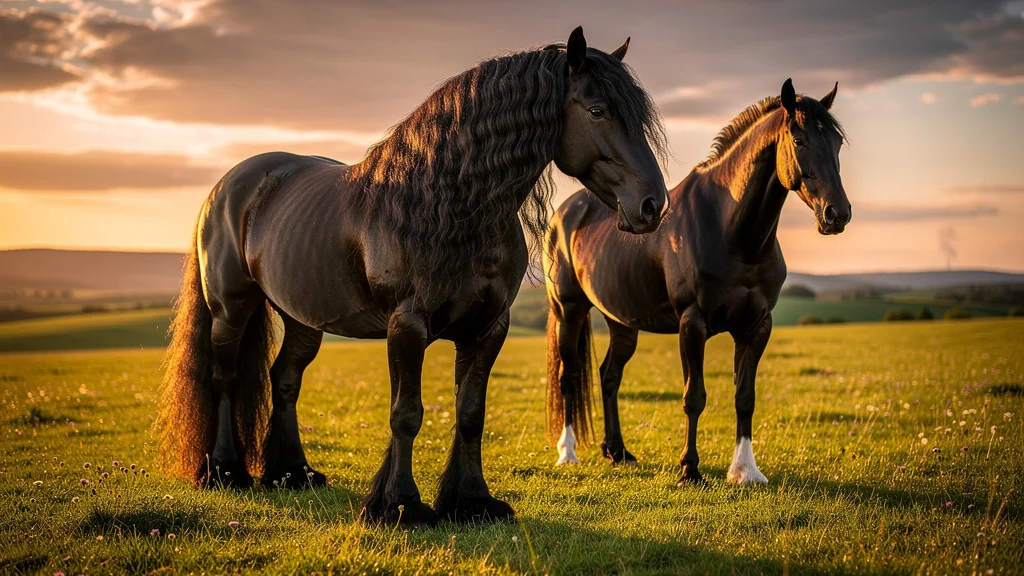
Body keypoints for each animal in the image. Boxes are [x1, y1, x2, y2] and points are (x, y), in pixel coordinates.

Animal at [156, 26, 669, 526]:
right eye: (598, 110)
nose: (653, 205)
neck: (449, 207)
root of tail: (230, 184)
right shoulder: (407, 326)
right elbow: (406, 413)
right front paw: (400, 505)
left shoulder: (489, 328)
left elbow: (470, 413)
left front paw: (472, 502)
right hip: (231, 308)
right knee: (224, 378)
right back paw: (225, 472)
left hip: (304, 319)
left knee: (283, 379)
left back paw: (293, 473)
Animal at [544, 79, 851, 485]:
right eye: (799, 140)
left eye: (837, 142)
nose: (837, 214)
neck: (731, 230)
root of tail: (565, 212)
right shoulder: (693, 323)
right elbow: (694, 397)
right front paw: (689, 469)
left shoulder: (757, 326)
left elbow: (745, 397)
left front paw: (745, 470)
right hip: (570, 310)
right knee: (568, 377)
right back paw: (568, 454)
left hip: (621, 322)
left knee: (609, 376)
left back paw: (618, 452)